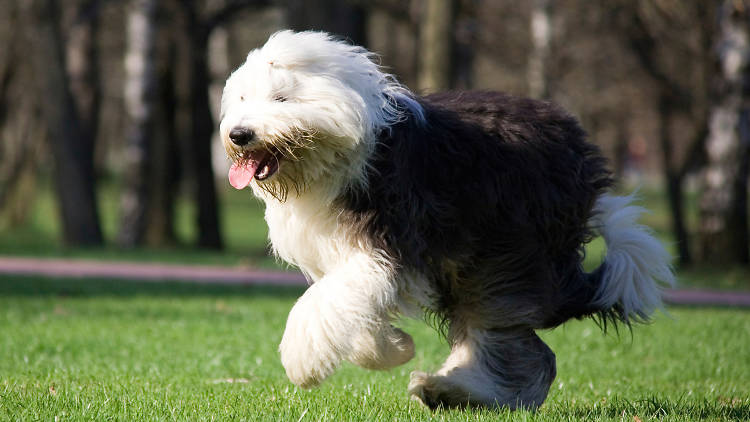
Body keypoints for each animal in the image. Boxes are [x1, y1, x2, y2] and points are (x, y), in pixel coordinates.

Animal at [220, 31, 680, 410]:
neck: (345, 153)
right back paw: (450, 391)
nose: (239, 135)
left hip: (508, 252)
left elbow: (324, 303)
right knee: (521, 349)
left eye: (281, 99)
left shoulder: (386, 246)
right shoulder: (346, 256)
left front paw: (304, 363)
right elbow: (345, 305)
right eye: (242, 100)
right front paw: (392, 347)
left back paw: (452, 390)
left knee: (513, 342)